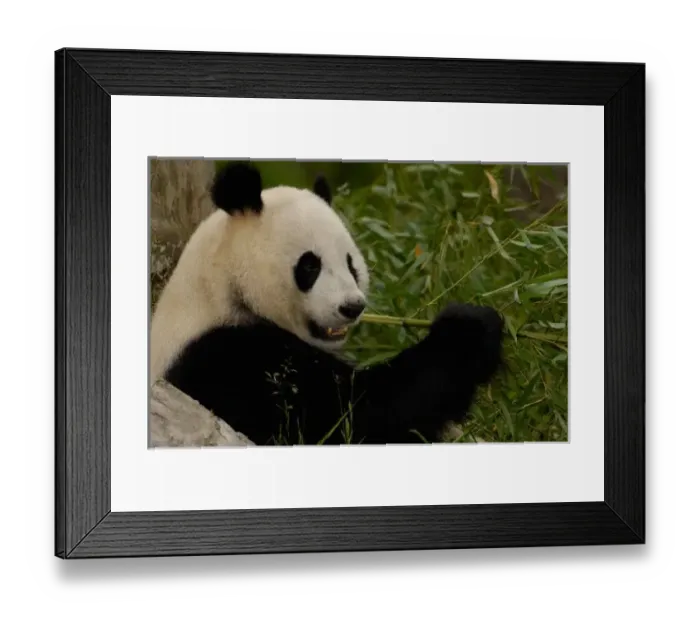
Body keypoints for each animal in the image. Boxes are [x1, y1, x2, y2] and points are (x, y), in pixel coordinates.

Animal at [150, 161, 505, 446]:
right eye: (310, 266)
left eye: (351, 263)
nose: (352, 307)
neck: (222, 288)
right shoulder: (228, 360)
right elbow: (348, 418)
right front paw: (468, 332)